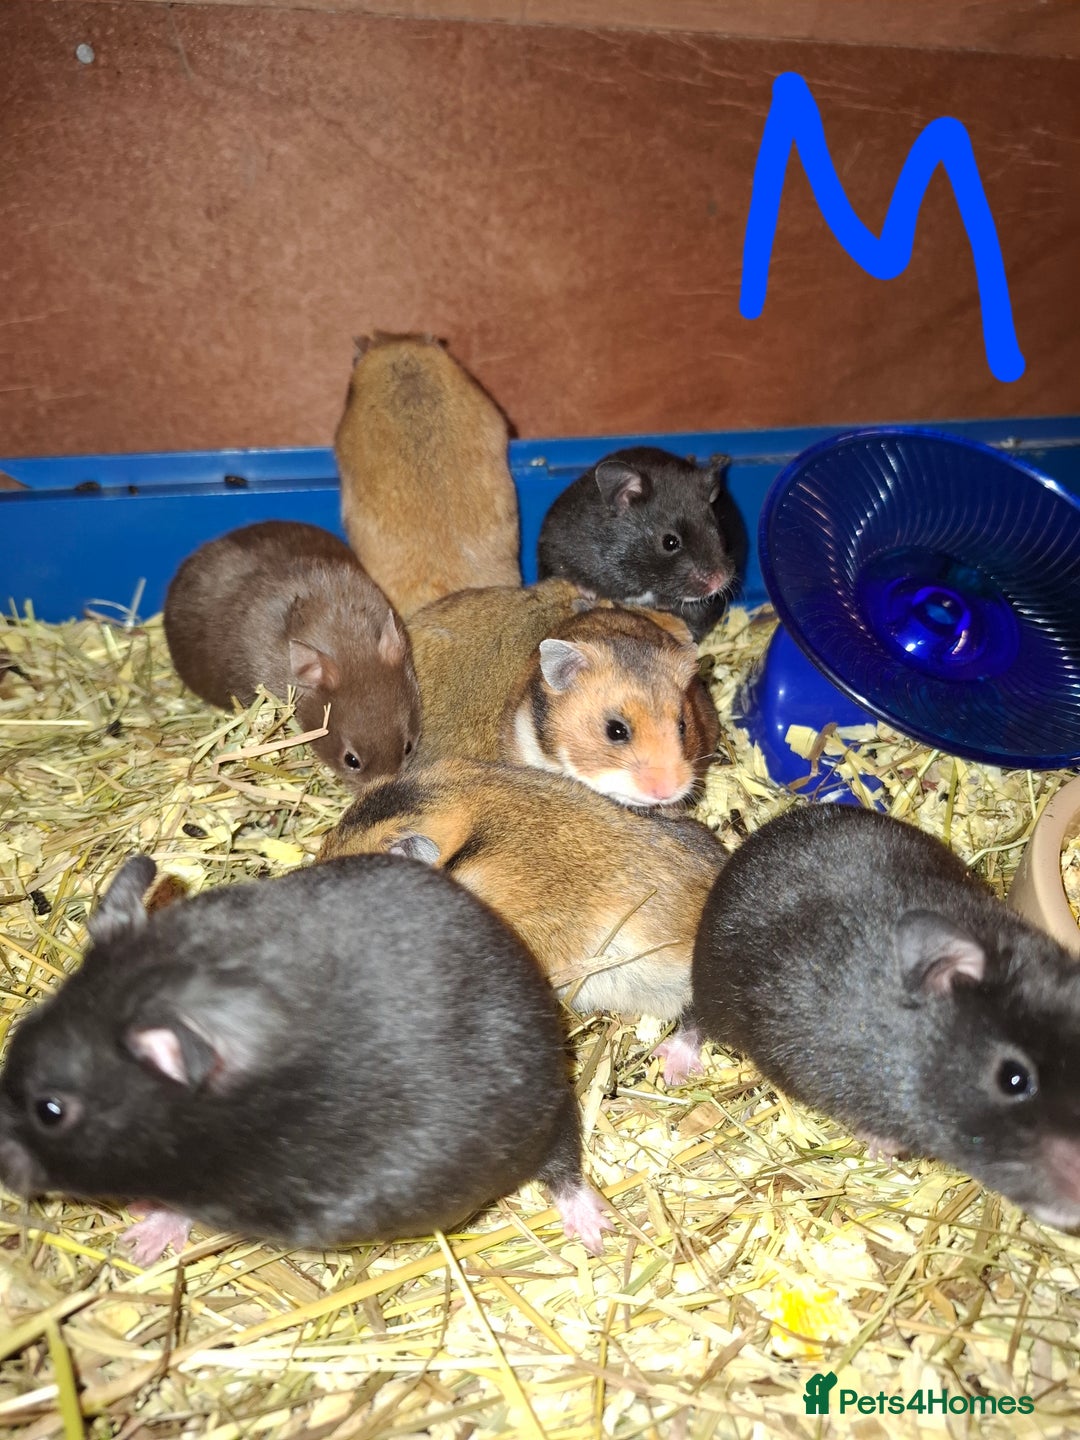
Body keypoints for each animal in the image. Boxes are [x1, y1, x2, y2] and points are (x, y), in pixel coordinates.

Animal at [0, 854, 610, 1261]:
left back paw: (596, 1232)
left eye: (50, 1110)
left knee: (565, 1161)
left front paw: (139, 1240)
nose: (5, 1173)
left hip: (539, 1113)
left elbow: (186, 1207)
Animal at [669, 804, 1080, 1230]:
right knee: (693, 1017)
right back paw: (675, 1070)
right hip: (715, 982)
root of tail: (757, 839)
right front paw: (885, 1153)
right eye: (1014, 1079)